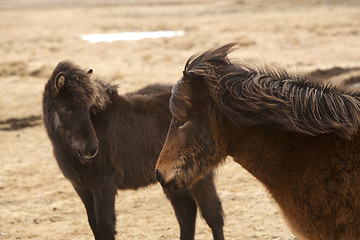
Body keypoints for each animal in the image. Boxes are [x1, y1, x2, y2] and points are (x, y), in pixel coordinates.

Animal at [40, 61, 224, 240]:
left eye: (88, 108)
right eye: (65, 108)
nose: (91, 148)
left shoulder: (103, 185)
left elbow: (105, 227)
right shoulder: (82, 188)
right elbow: (94, 226)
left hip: (198, 178)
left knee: (213, 216)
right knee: (187, 217)